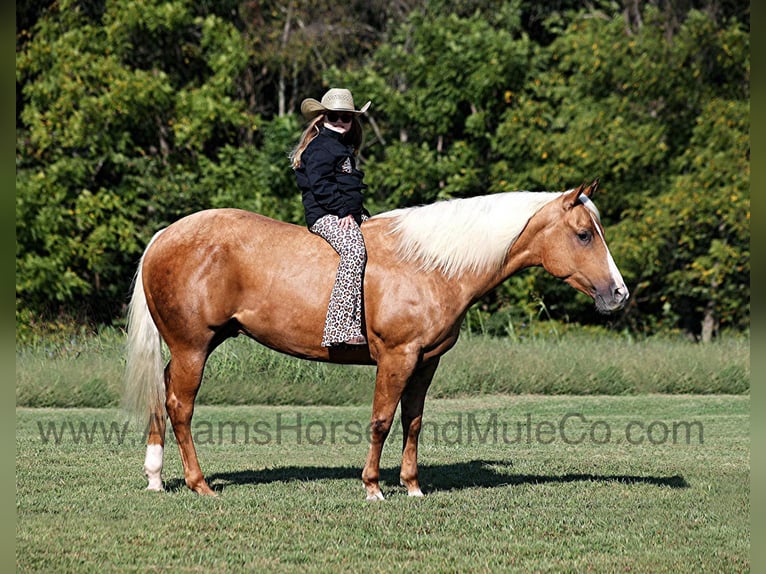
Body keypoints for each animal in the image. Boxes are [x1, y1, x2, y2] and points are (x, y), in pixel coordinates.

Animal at [123, 179, 628, 500]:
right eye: (584, 234)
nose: (619, 294)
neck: (428, 264)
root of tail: (165, 235)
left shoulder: (425, 362)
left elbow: (413, 423)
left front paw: (413, 486)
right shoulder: (396, 358)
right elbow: (382, 421)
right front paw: (372, 487)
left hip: (190, 349)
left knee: (161, 395)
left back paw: (155, 476)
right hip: (193, 348)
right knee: (180, 407)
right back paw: (199, 484)